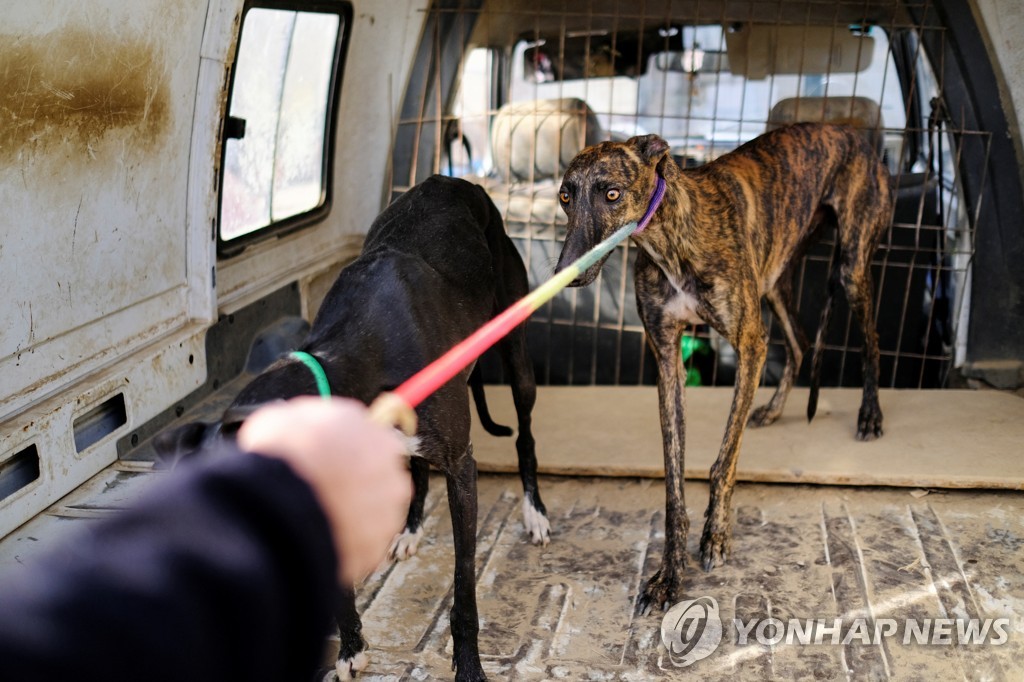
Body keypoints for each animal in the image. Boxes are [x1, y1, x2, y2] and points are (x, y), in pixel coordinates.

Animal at [152, 176, 548, 679]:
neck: (351, 355)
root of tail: (456, 181)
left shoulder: (462, 466)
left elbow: (463, 587)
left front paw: (469, 666)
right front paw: (350, 648)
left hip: (517, 352)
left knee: (526, 434)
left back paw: (535, 512)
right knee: (417, 466)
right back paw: (410, 527)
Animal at [552, 120, 888, 610]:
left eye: (611, 193)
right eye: (565, 196)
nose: (567, 274)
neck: (671, 238)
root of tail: (854, 133)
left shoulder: (749, 342)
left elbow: (724, 459)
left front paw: (715, 536)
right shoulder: (667, 357)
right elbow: (674, 482)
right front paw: (670, 573)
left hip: (850, 264)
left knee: (871, 340)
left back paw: (870, 415)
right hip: (777, 275)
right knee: (801, 341)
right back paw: (773, 409)